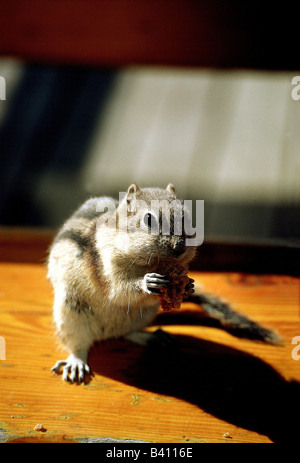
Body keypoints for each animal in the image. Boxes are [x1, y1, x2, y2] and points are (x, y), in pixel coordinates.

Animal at [48, 183, 282, 382]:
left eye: (186, 217)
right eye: (148, 220)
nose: (179, 247)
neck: (149, 264)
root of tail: (106, 334)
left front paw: (187, 287)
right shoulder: (106, 264)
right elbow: (118, 289)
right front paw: (147, 283)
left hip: (140, 318)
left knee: (128, 333)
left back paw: (153, 337)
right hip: (71, 317)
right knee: (79, 346)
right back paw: (76, 362)